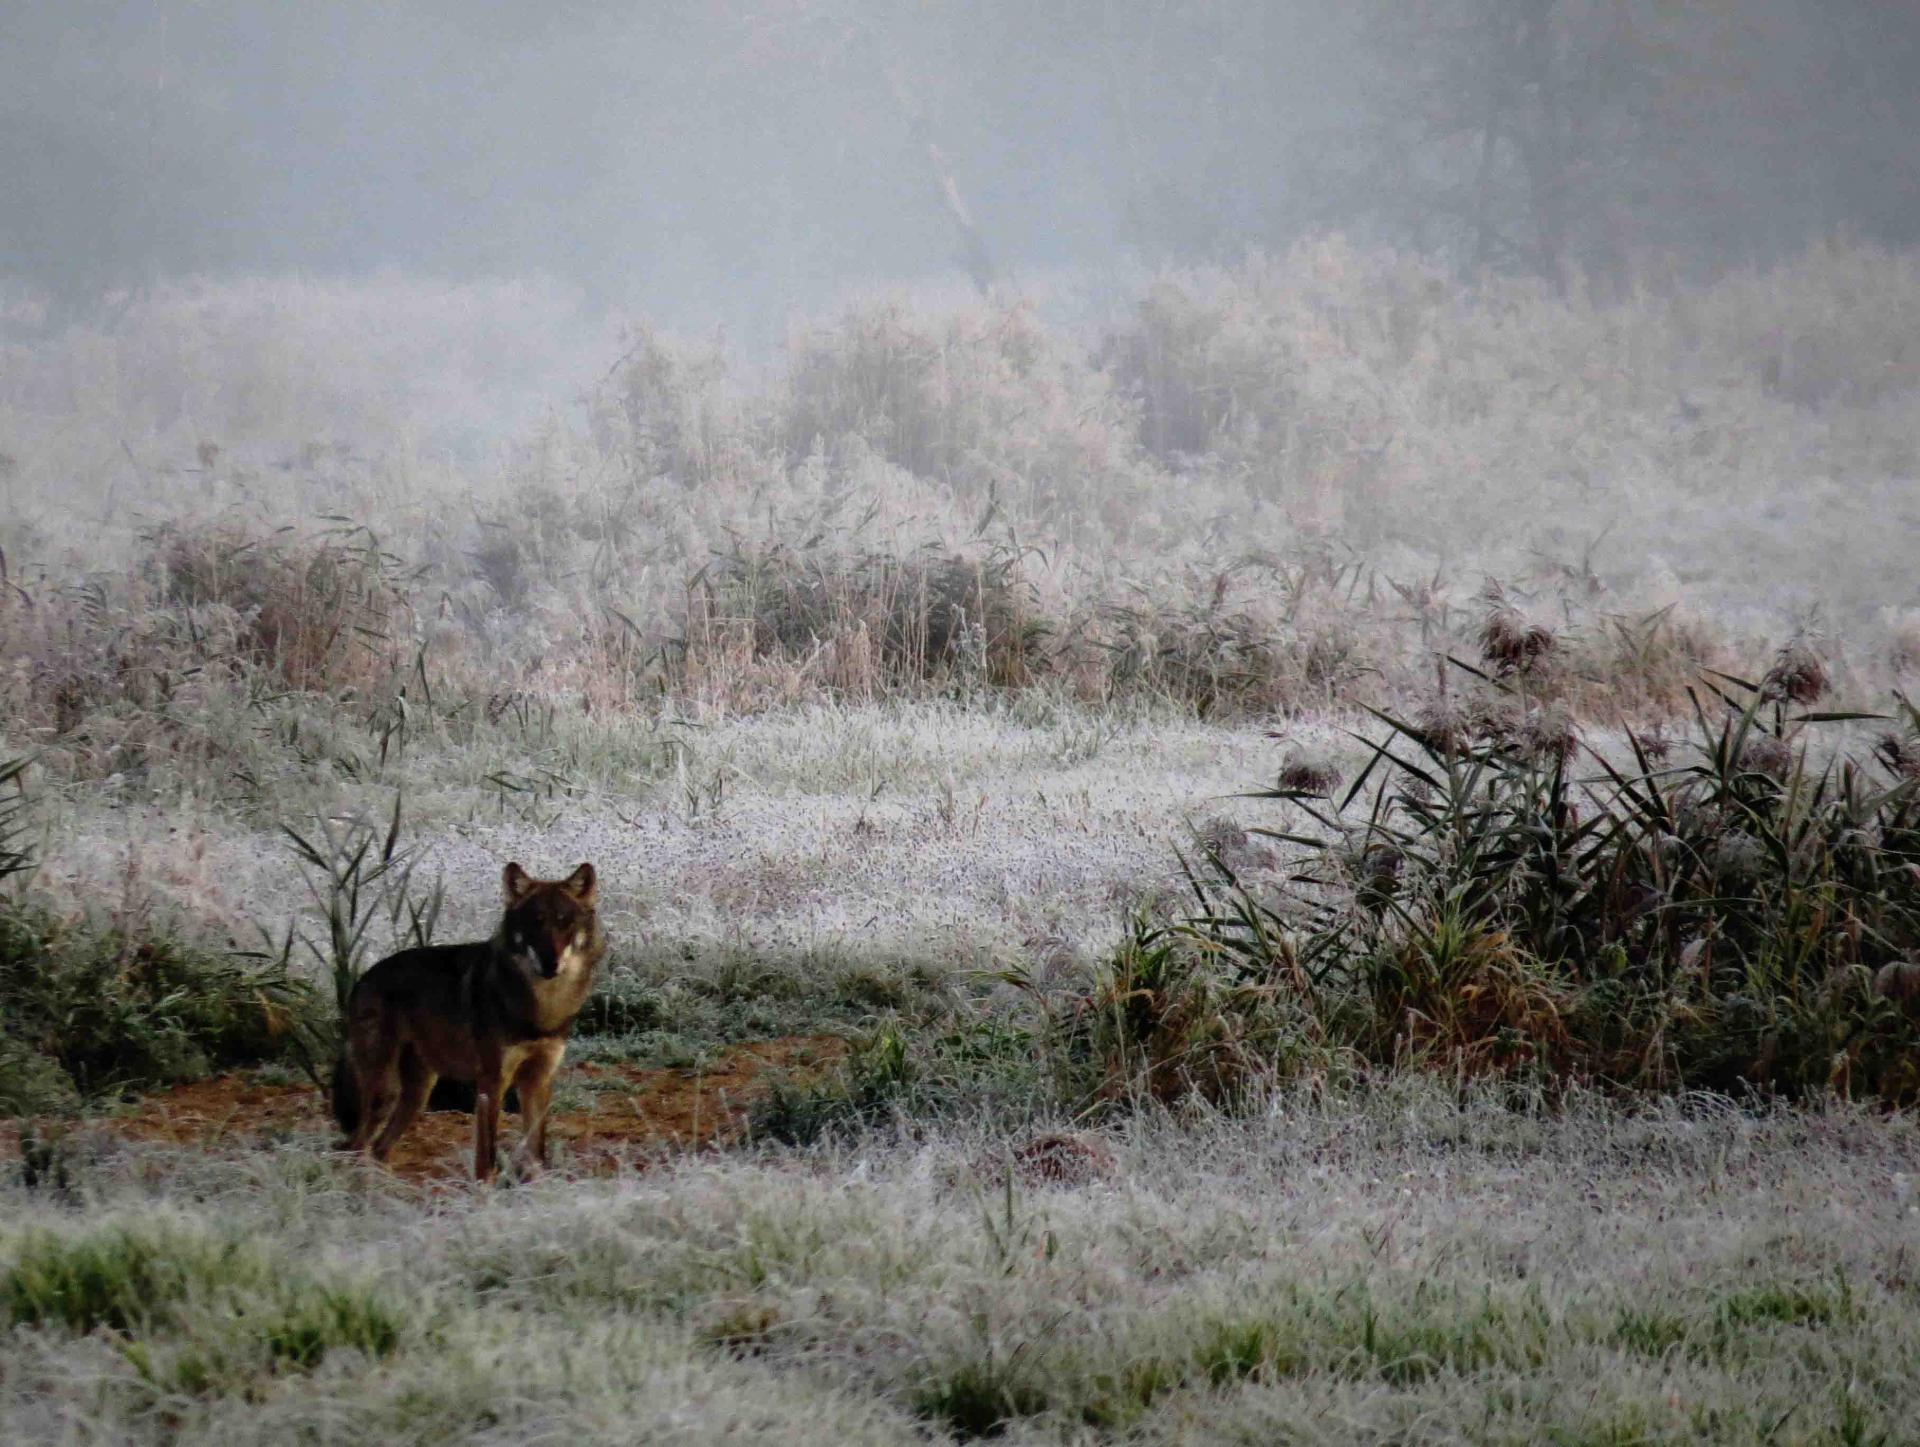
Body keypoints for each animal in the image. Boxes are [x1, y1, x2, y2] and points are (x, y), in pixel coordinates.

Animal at [326, 855, 602, 1174]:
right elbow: (487, 1161)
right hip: (385, 1094)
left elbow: (536, 1159)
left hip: (417, 1096)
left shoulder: (538, 1083)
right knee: (357, 1147)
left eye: (564, 922)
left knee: (379, 1149)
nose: (550, 963)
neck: (543, 1010)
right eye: (536, 922)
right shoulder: (491, 1084)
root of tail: (361, 978)